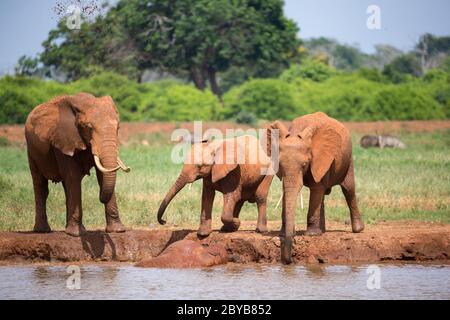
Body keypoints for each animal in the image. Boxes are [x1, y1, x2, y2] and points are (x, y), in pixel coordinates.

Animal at [25, 91, 130, 236]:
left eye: (118, 127)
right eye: (89, 127)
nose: (100, 198)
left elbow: (101, 175)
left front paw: (117, 230)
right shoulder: (63, 140)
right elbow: (73, 176)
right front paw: (76, 234)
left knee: (66, 188)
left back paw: (67, 228)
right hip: (32, 151)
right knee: (41, 186)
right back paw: (43, 231)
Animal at [268, 112, 364, 262]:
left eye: (304, 165)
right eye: (281, 166)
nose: (288, 261)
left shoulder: (321, 158)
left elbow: (317, 188)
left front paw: (312, 235)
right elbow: (287, 189)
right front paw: (283, 234)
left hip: (348, 159)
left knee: (348, 189)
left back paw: (357, 230)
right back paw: (322, 231)